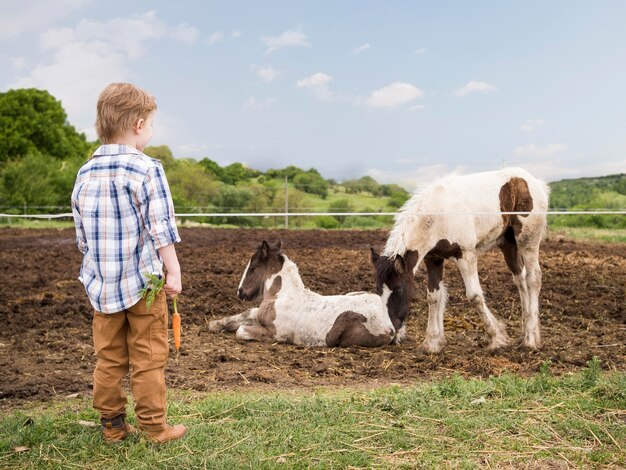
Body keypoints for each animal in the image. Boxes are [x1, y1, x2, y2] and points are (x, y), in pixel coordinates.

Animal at [210, 241, 394, 346]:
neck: (282, 295)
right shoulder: (259, 314)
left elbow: (241, 330)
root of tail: (390, 325)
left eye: (253, 268)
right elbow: (244, 315)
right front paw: (214, 324)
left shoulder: (276, 334)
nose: (240, 292)